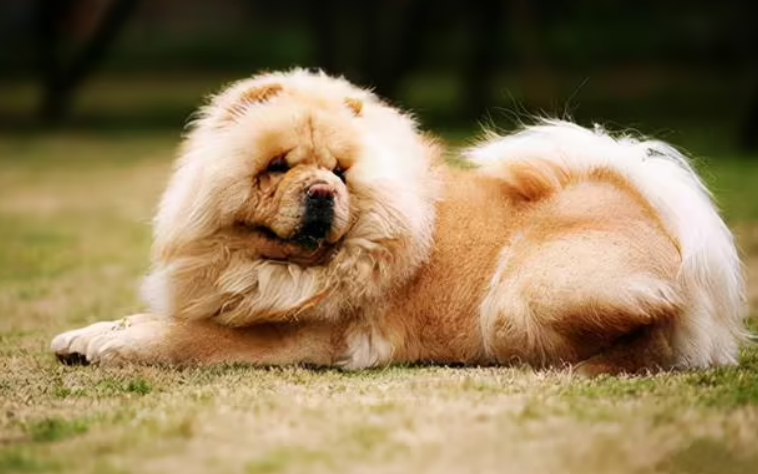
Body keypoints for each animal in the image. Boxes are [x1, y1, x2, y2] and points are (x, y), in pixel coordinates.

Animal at [51, 69, 747, 375]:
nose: (322, 192)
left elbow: (180, 338)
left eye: (339, 171)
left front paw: (114, 346)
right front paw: (85, 334)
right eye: (278, 167)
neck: (262, 265)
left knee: (648, 338)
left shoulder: (293, 338)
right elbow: (147, 319)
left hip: (525, 294)